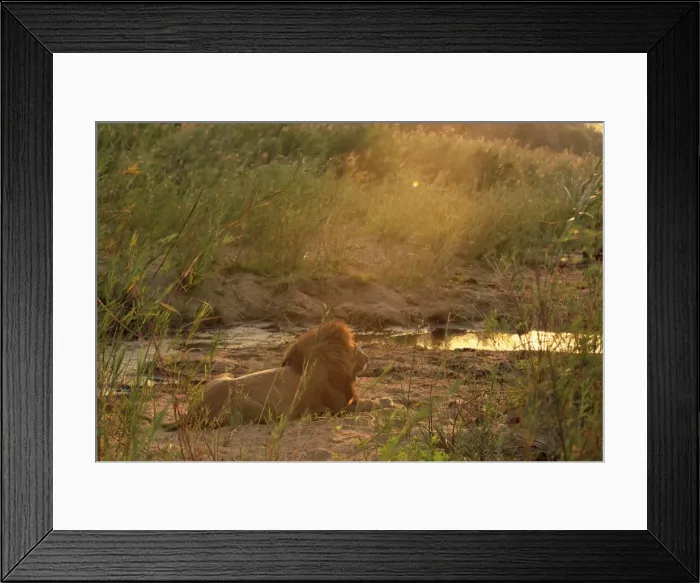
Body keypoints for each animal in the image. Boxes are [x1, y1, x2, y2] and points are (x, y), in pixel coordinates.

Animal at [161, 319, 391, 431]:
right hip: (255, 406)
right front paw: (387, 401)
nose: (368, 357)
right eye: (355, 348)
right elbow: (368, 404)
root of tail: (190, 413)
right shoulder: (338, 407)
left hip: (225, 376)